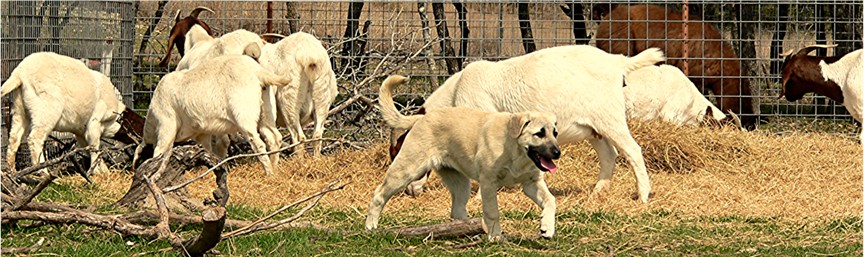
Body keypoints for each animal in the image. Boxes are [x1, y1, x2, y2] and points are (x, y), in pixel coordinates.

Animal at [135, 54, 290, 174]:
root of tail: (259, 71)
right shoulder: (201, 132)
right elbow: (206, 150)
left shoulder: (166, 125)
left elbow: (160, 151)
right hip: (267, 109)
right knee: (274, 137)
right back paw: (275, 169)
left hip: (245, 113)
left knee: (258, 143)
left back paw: (268, 172)